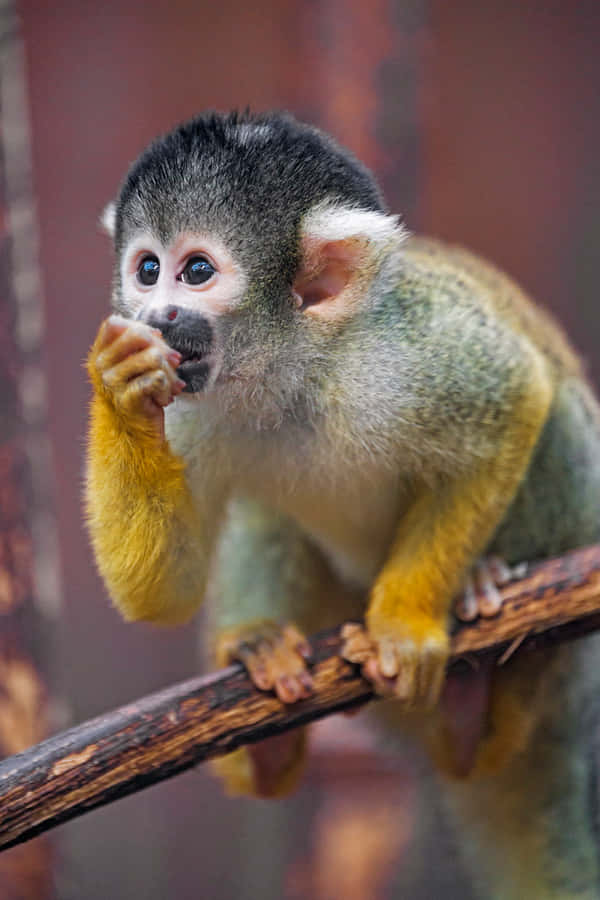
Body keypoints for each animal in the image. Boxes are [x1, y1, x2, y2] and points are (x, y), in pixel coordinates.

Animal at [86, 110, 600, 898]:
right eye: (146, 269)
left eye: (195, 271)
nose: (155, 312)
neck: (292, 367)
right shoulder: (192, 401)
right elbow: (163, 591)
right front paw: (119, 384)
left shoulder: (405, 353)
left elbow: (518, 393)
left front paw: (405, 625)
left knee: (556, 417)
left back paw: (485, 659)